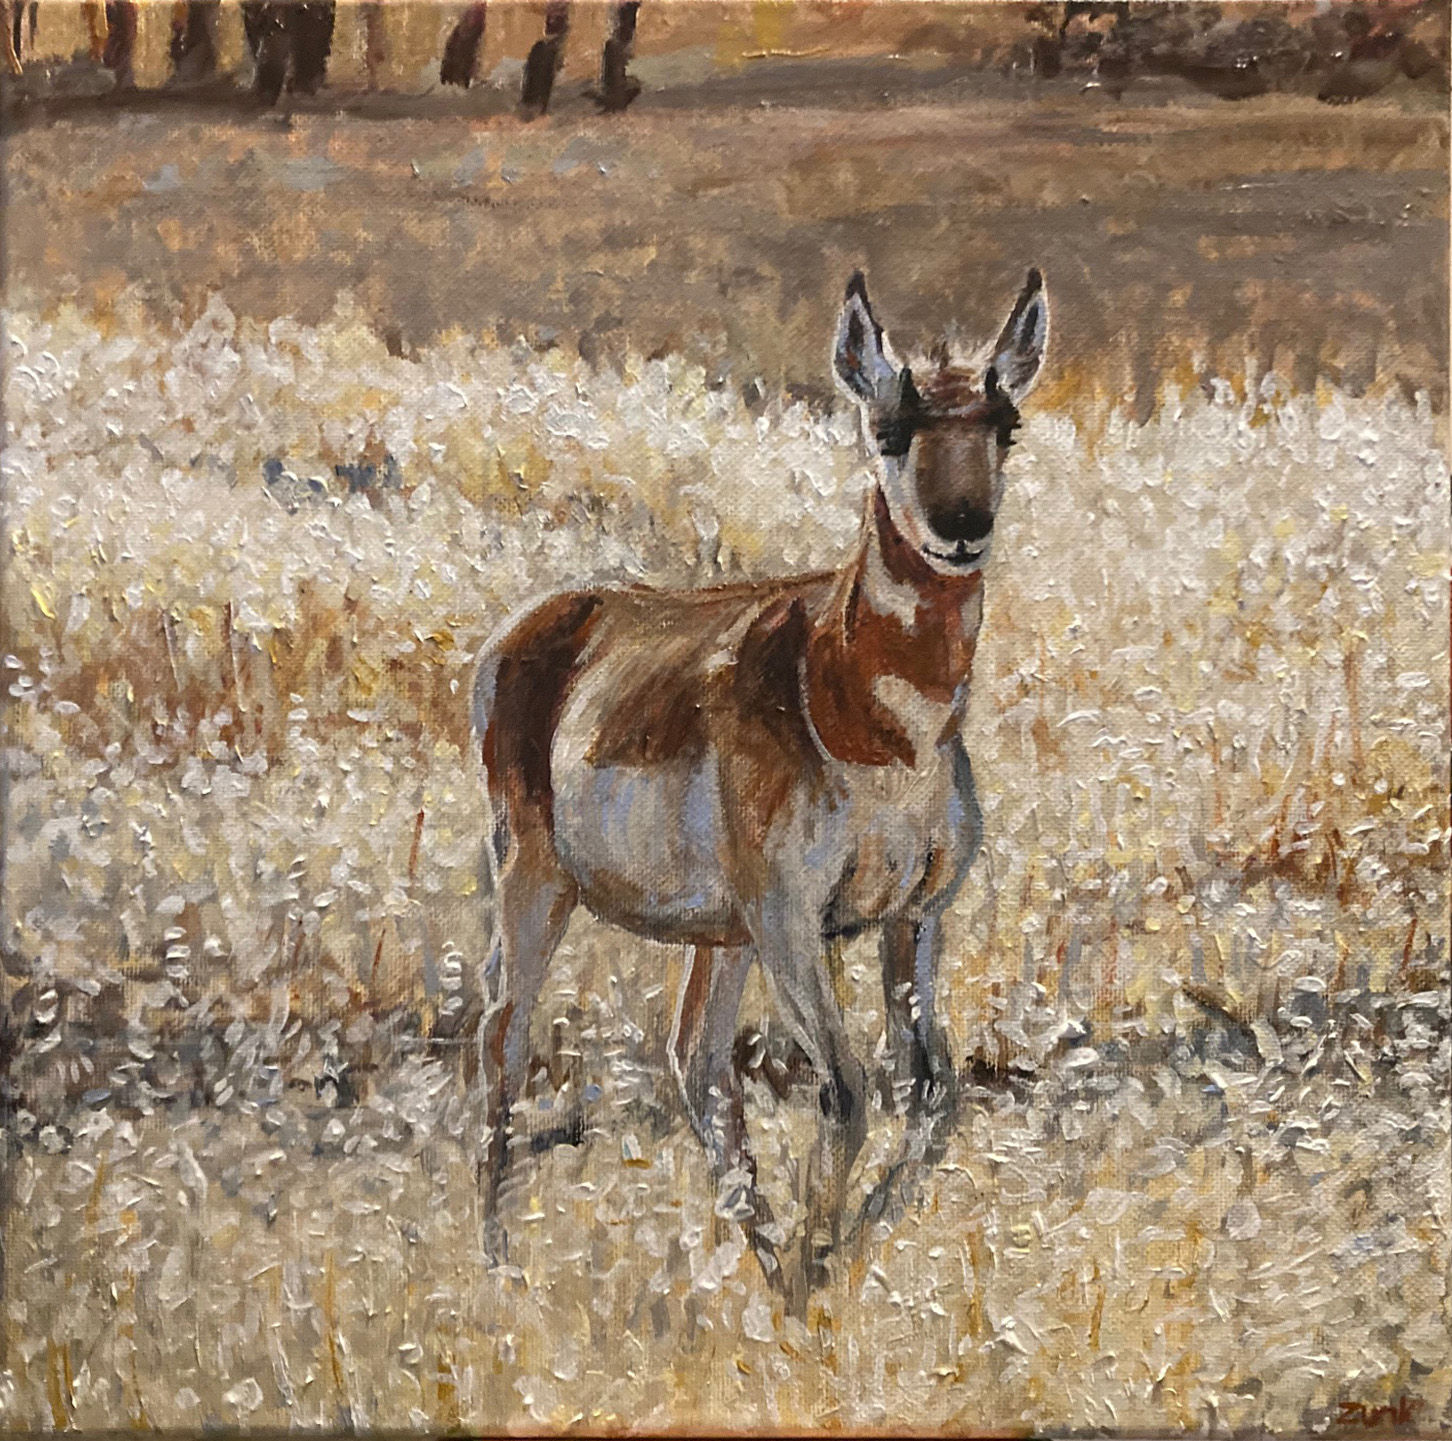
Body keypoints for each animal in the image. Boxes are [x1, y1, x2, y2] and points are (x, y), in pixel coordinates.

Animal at [470, 267, 1048, 1297]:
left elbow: (928, 1092)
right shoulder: (790, 919)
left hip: (719, 932)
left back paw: (763, 1250)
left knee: (695, 1058)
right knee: (504, 1033)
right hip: (538, 880)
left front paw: (833, 1252)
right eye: (889, 426)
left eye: (1005, 423)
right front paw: (822, 1257)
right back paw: (498, 1261)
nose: (963, 528)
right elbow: (847, 1090)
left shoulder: (916, 916)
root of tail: (547, 616)